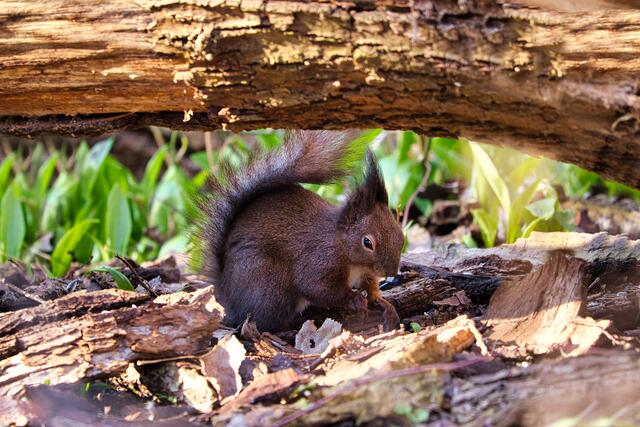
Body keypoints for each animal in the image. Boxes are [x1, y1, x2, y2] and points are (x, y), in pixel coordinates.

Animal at [199, 131, 404, 332]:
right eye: (367, 242)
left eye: (401, 237)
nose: (391, 271)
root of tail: (224, 291)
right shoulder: (320, 259)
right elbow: (316, 287)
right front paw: (354, 299)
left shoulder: (363, 273)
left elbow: (370, 287)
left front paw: (381, 302)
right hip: (271, 288)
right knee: (261, 321)